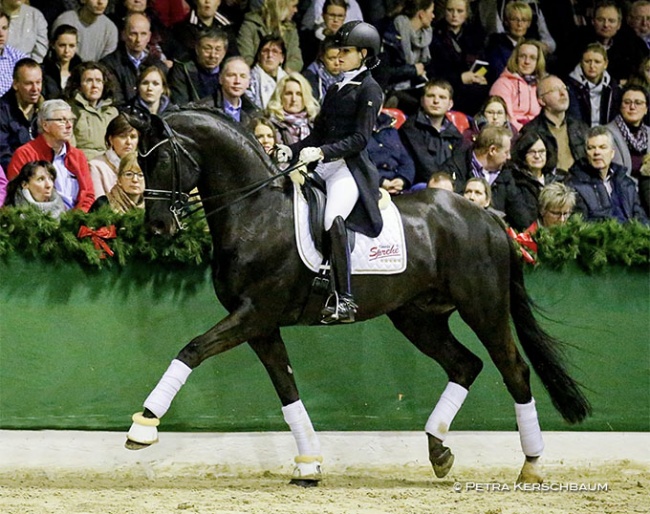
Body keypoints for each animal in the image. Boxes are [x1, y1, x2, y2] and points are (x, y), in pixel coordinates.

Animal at [121, 108, 588, 484]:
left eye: (162, 159)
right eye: (138, 161)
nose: (157, 226)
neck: (255, 212)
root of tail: (490, 219)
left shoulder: (254, 314)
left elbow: (192, 349)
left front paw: (143, 427)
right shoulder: (260, 325)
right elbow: (286, 389)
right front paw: (309, 464)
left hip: (484, 308)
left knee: (514, 370)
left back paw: (531, 465)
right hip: (417, 317)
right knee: (466, 365)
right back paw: (439, 451)